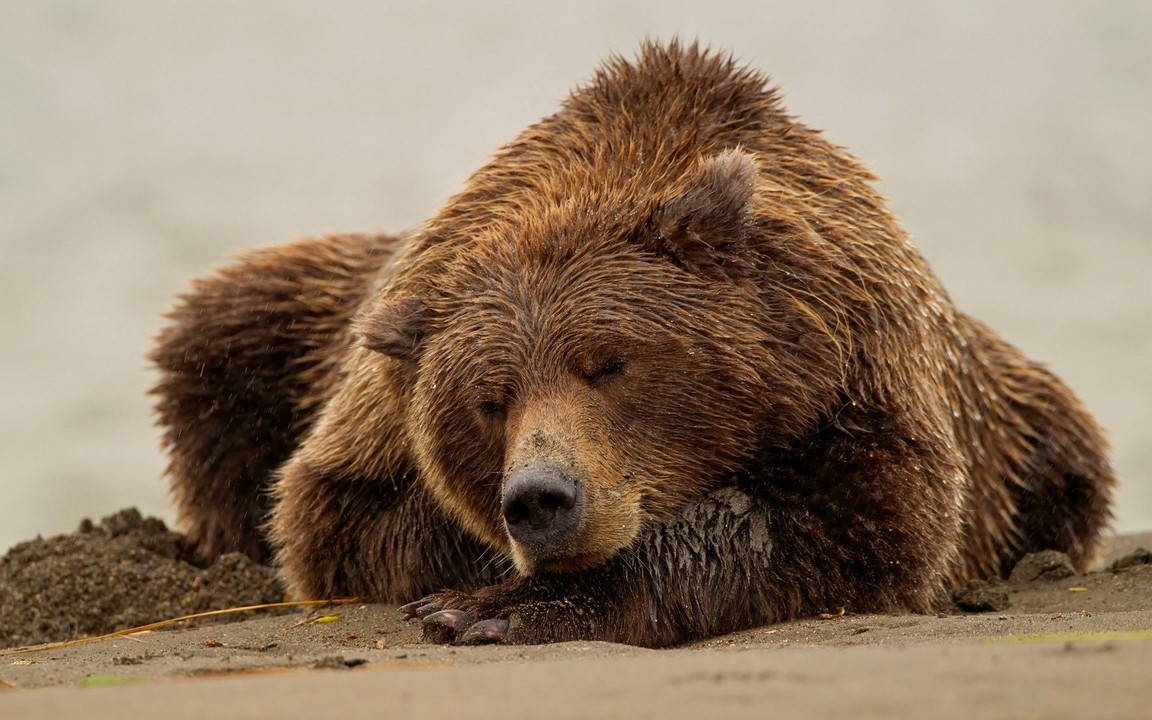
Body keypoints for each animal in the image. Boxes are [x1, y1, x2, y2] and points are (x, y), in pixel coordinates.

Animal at [150, 41, 1115, 647]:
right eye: (488, 400)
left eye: (610, 362)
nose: (541, 498)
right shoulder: (374, 415)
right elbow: (341, 519)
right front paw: (484, 588)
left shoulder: (863, 372)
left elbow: (850, 521)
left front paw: (501, 608)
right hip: (282, 316)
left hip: (1036, 433)